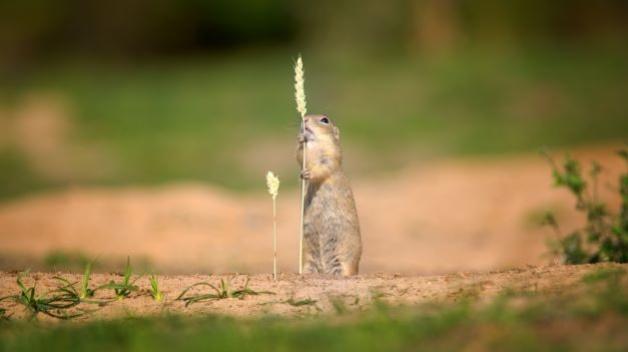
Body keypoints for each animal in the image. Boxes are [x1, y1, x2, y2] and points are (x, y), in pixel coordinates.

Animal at [296, 114, 360, 276]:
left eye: (325, 120)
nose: (305, 119)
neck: (315, 144)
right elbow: (299, 157)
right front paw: (301, 138)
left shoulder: (331, 156)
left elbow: (324, 167)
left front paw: (309, 174)